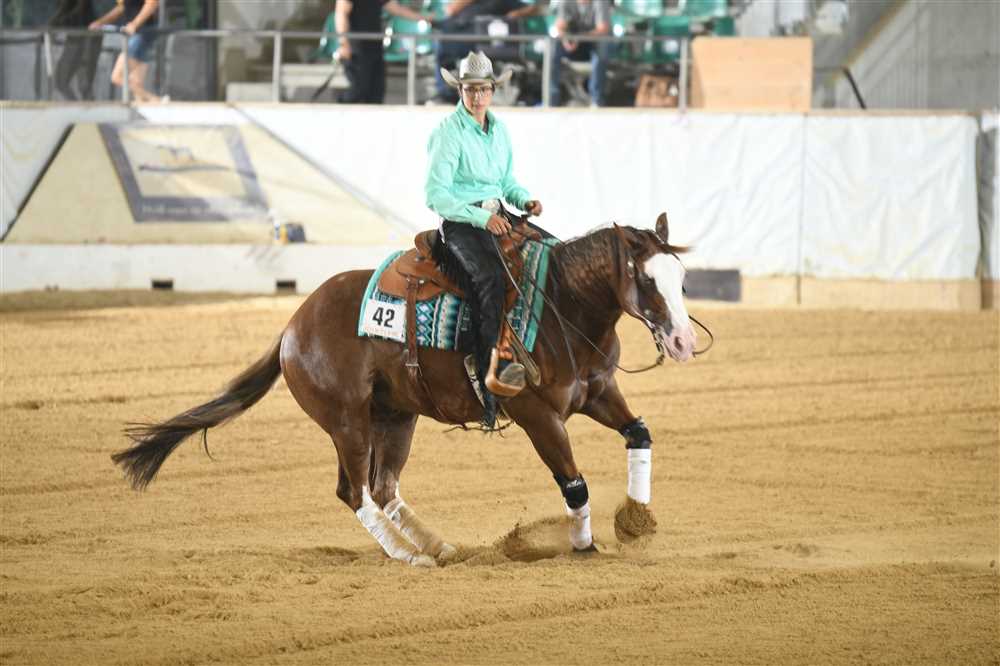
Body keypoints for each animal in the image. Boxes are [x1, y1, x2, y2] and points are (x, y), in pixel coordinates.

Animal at [112, 212, 698, 566]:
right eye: (647, 280)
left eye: (683, 279)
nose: (683, 341)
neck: (561, 306)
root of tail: (293, 325)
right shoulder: (537, 414)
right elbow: (573, 482)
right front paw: (583, 545)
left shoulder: (597, 393)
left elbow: (639, 434)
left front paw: (636, 521)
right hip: (346, 421)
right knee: (356, 492)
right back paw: (408, 555)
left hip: (396, 417)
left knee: (385, 487)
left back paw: (438, 546)